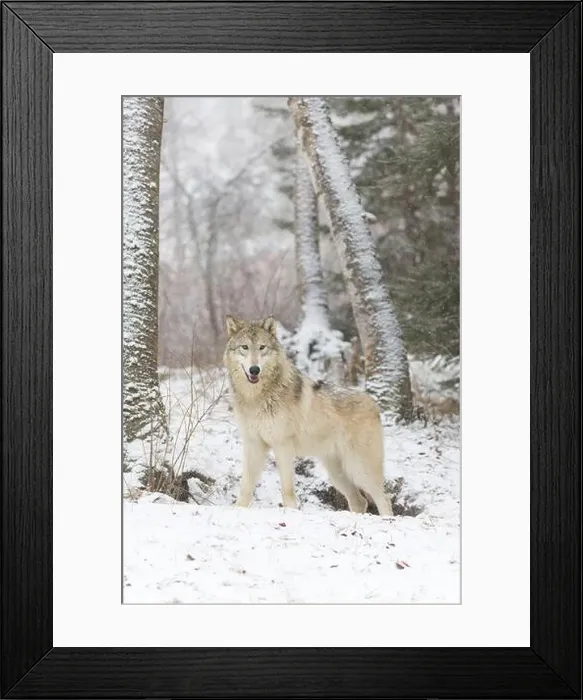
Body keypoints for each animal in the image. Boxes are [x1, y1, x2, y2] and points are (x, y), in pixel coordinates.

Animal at [223, 316, 393, 516]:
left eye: (262, 347)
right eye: (244, 347)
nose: (254, 370)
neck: (256, 397)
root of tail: (373, 402)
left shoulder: (283, 447)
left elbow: (287, 490)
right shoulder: (253, 445)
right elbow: (245, 488)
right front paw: (238, 510)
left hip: (359, 469)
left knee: (384, 499)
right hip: (337, 473)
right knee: (359, 501)